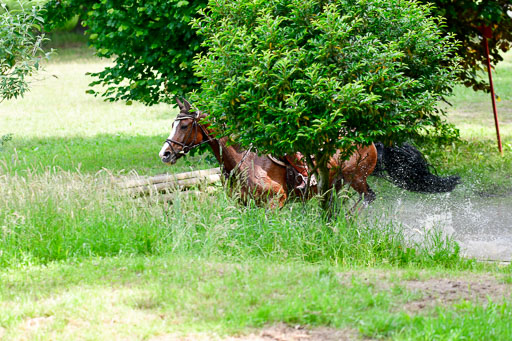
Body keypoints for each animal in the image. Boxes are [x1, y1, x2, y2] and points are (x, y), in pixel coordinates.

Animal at [158, 98, 378, 209]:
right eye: (172, 124)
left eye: (184, 125)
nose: (165, 154)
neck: (242, 161)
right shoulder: (242, 203)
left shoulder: (275, 201)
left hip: (357, 178)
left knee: (368, 197)